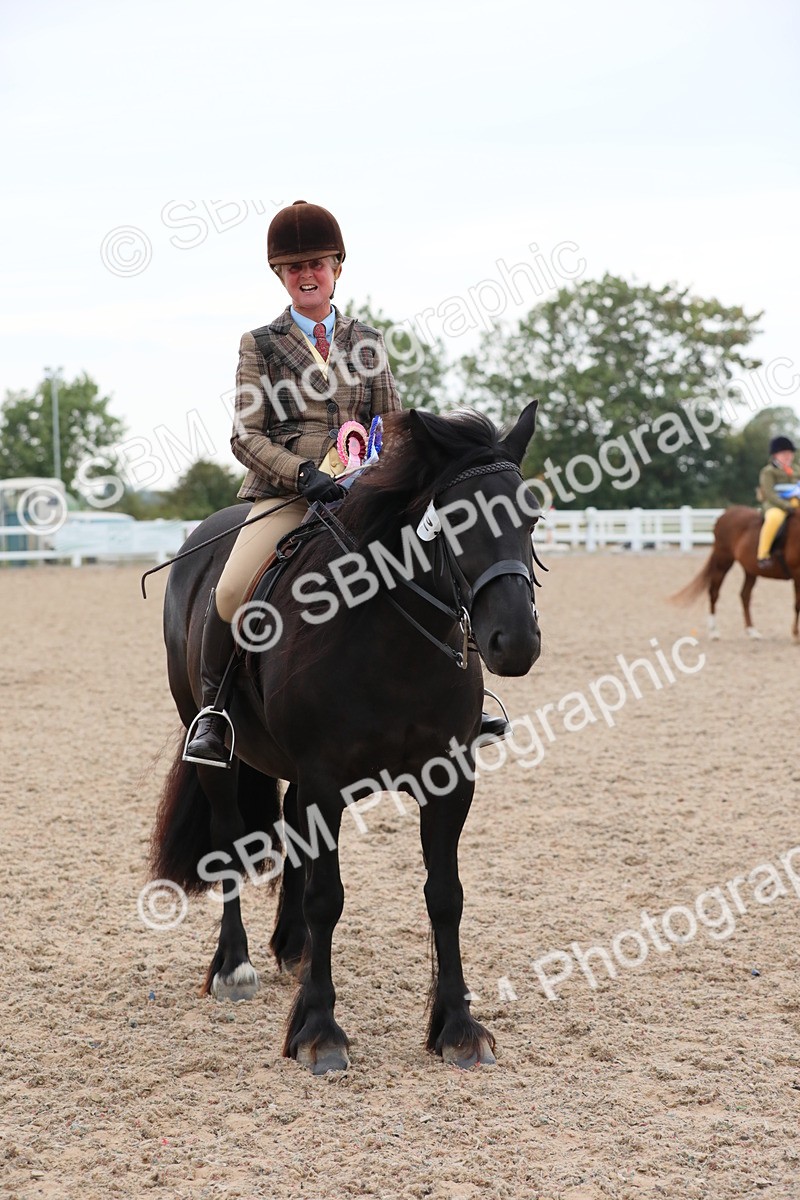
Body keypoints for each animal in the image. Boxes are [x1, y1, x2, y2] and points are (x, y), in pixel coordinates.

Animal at [149, 401, 542, 1073]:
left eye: (533, 517)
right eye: (455, 518)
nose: (514, 641)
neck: (394, 642)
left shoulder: (449, 780)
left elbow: (446, 894)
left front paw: (459, 1028)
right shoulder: (325, 780)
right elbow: (327, 897)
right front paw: (318, 1030)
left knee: (287, 824)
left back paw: (293, 948)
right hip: (217, 753)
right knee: (229, 839)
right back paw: (235, 967)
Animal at [670, 505, 800, 641]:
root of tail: (725, 513)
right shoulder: (797, 573)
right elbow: (797, 604)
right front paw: (796, 634)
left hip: (750, 570)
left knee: (745, 596)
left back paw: (752, 631)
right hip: (723, 563)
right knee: (714, 592)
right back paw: (714, 632)